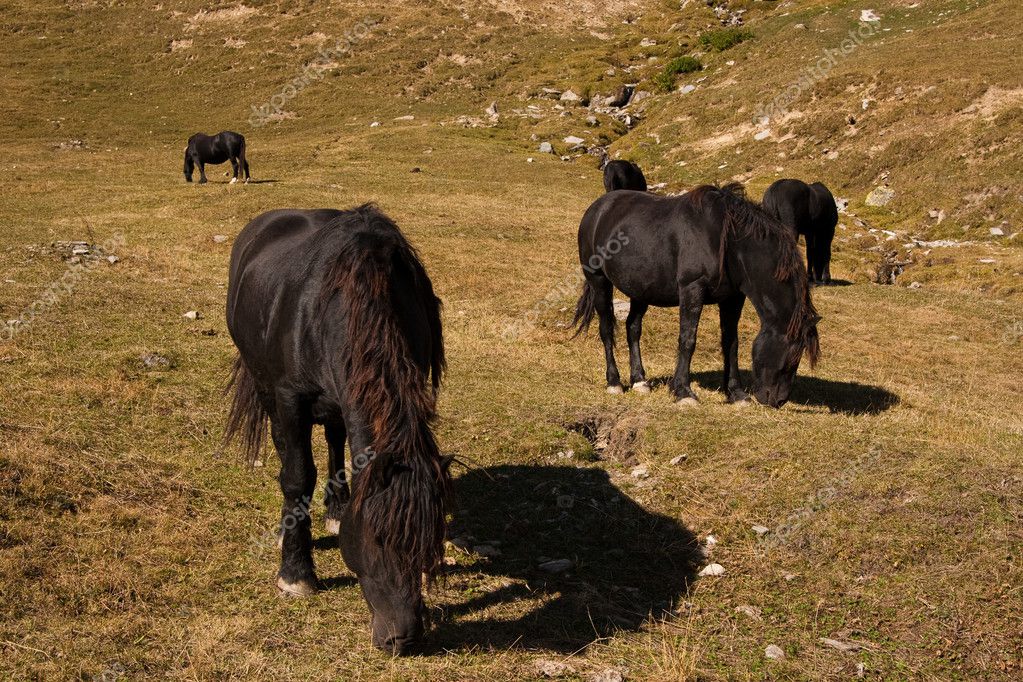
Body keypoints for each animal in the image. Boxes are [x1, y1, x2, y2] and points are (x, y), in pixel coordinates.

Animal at [226, 204, 450, 654]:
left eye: (426, 542)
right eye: (377, 539)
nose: (402, 638)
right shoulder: (289, 398)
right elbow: (297, 476)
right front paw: (296, 575)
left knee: (334, 440)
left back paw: (334, 509)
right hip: (267, 390)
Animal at [572, 184, 818, 408]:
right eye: (790, 358)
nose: (777, 401)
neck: (727, 242)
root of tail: (597, 209)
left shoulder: (732, 298)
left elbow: (731, 342)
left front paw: (736, 393)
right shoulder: (692, 289)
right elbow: (688, 339)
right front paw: (684, 392)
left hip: (640, 290)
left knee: (633, 327)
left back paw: (639, 381)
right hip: (599, 282)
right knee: (606, 329)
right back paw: (614, 382)